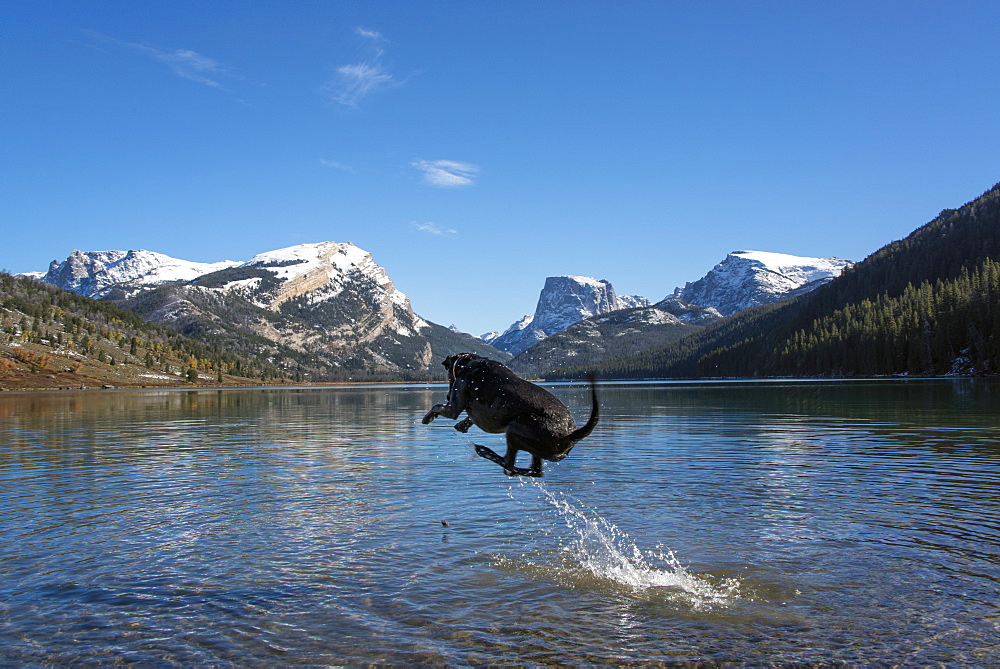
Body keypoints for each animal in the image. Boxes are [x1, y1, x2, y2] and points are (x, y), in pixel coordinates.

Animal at [420, 352, 596, 478]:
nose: (447, 396)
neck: (469, 362)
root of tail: (572, 435)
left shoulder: (453, 407)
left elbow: (436, 407)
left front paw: (427, 418)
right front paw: (463, 424)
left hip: (515, 428)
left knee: (509, 464)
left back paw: (485, 451)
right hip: (535, 446)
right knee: (534, 471)